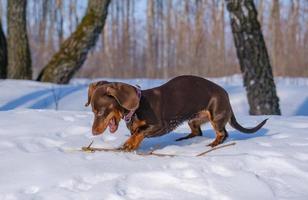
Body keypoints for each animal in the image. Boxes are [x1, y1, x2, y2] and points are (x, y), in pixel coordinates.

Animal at [85, 76, 268, 151]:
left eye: (100, 112)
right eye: (93, 111)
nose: (93, 132)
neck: (137, 107)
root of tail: (226, 95)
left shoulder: (159, 126)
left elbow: (139, 132)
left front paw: (128, 144)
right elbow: (136, 134)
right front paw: (131, 145)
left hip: (215, 116)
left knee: (223, 133)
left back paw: (213, 144)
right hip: (193, 119)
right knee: (197, 132)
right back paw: (183, 139)